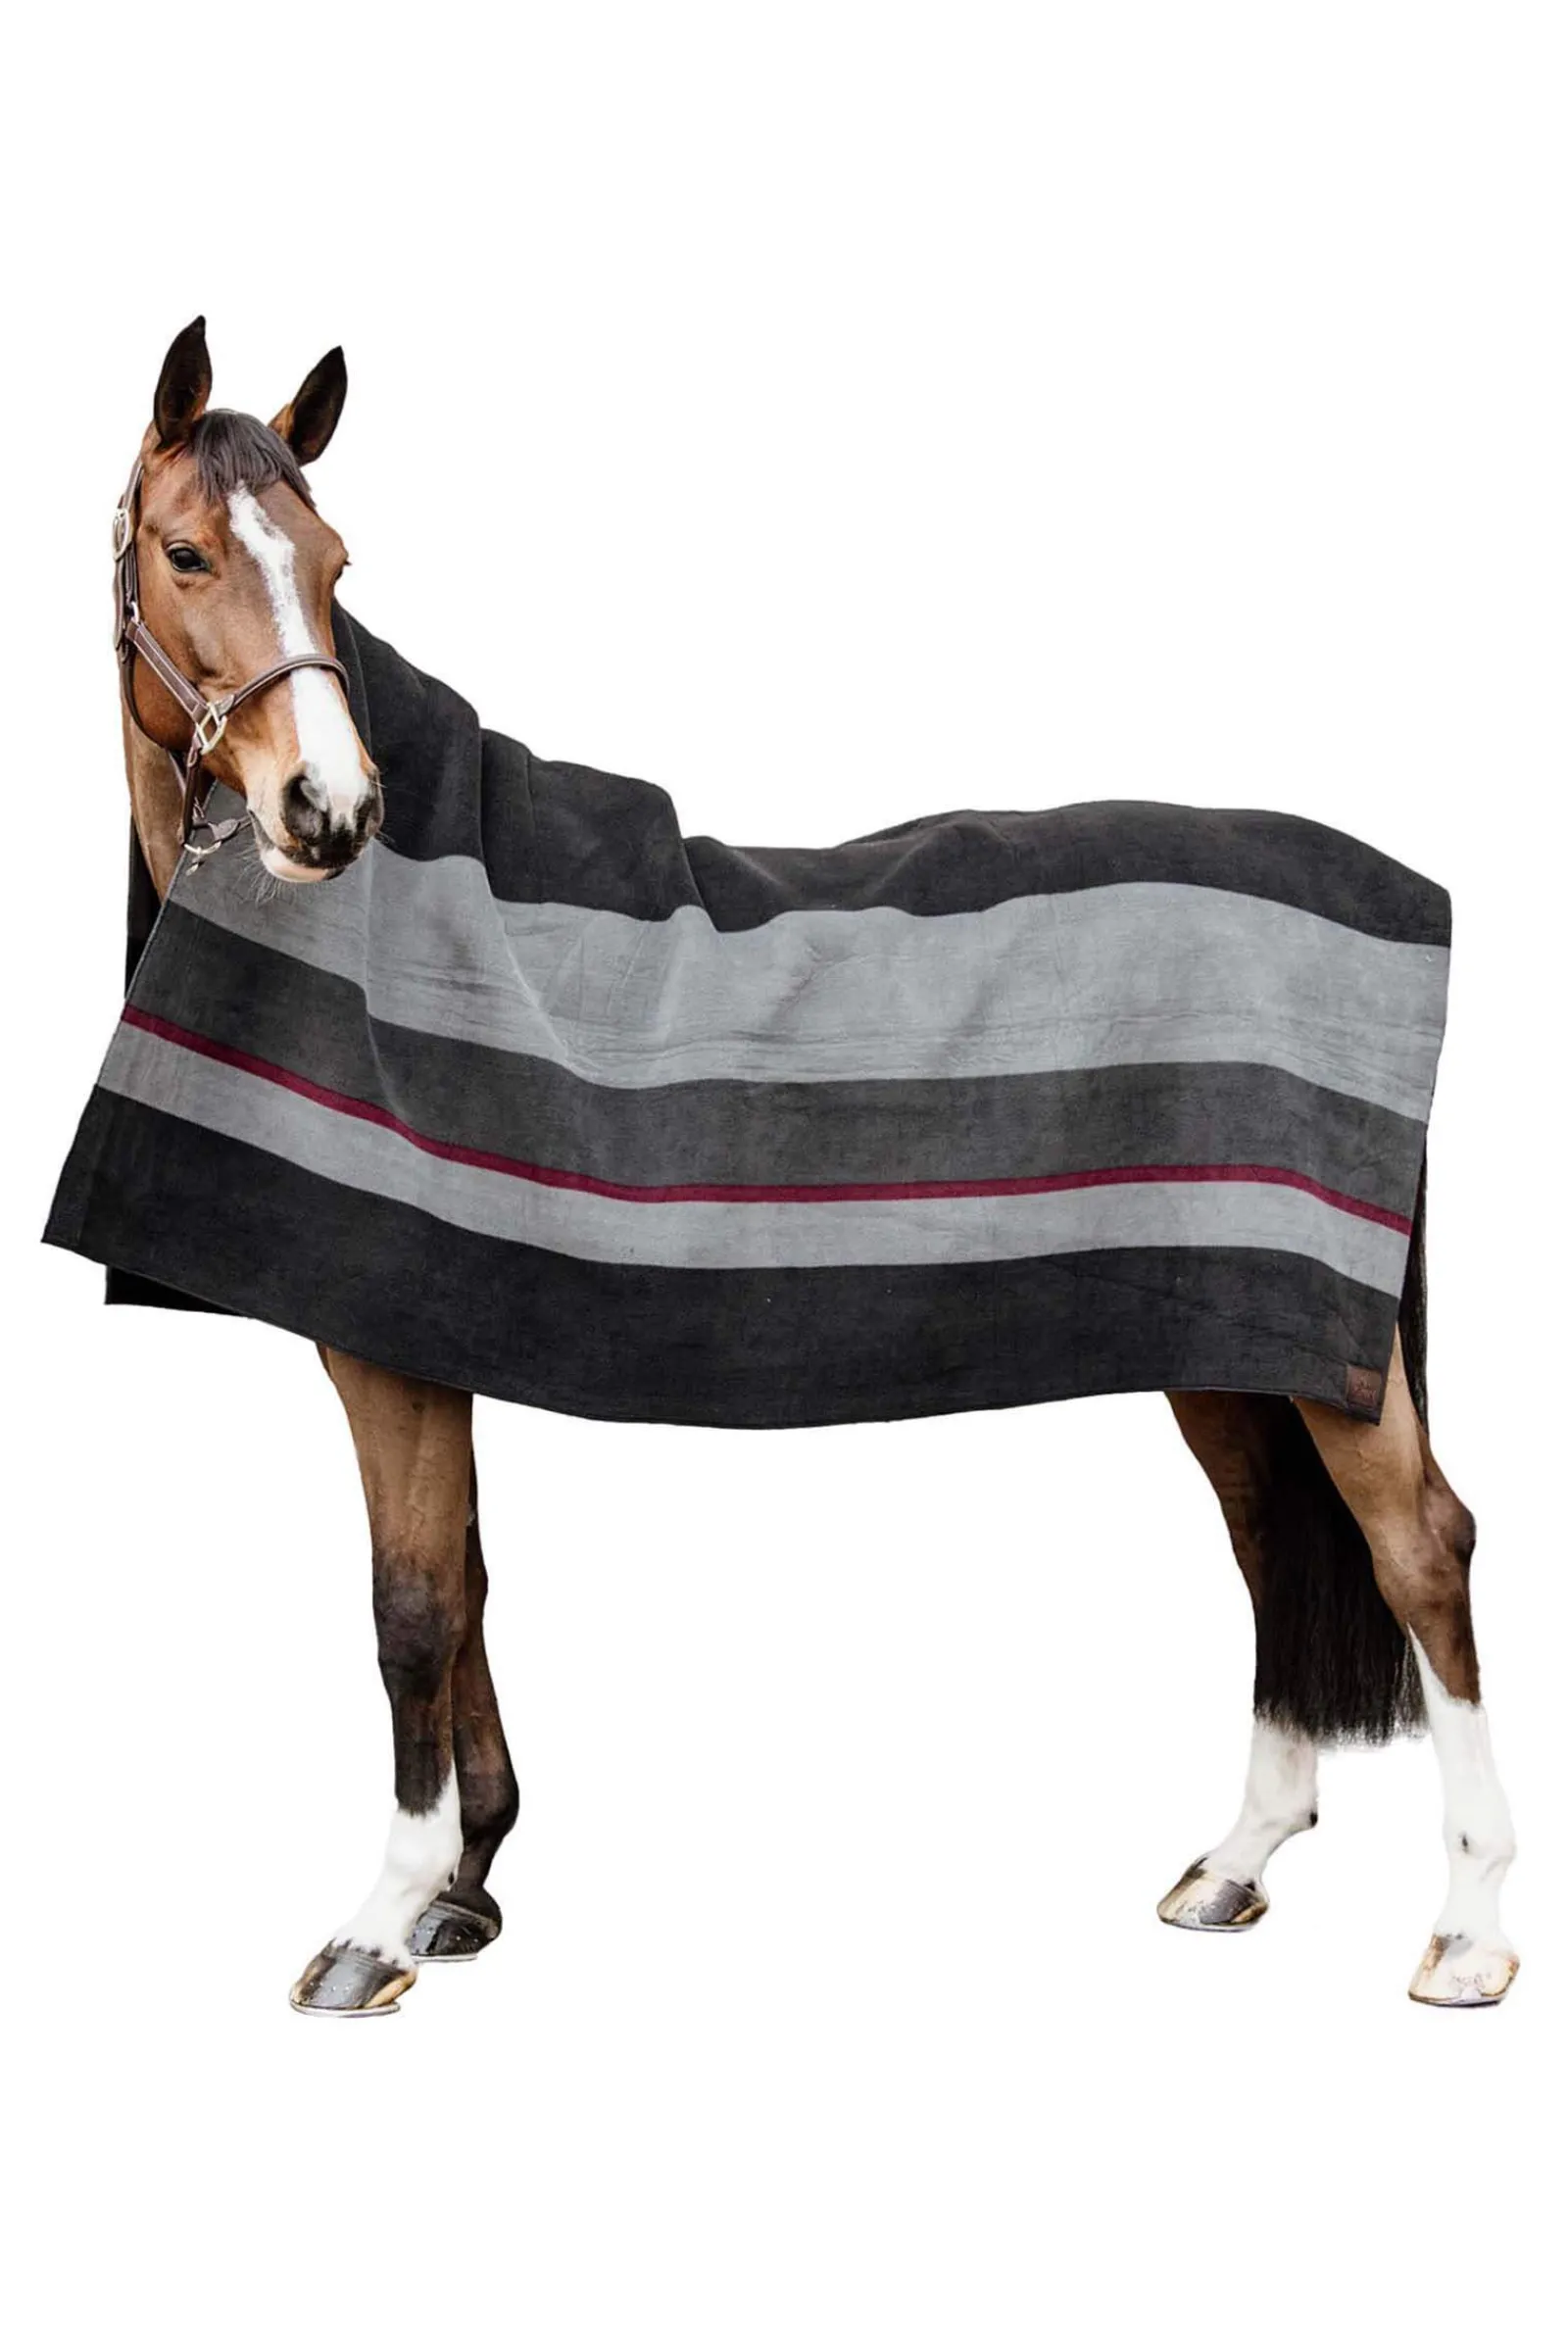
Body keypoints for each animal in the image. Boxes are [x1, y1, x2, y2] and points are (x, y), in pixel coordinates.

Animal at [64, 319, 1517, 2015]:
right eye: (188, 553)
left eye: (337, 564)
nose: (333, 810)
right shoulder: (438, 1325)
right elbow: (470, 1582)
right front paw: (468, 1888)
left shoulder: (390, 1348)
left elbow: (410, 1608)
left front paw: (381, 1920)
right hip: (1225, 1343)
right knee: (1277, 1540)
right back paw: (1236, 1862)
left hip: (1325, 1360)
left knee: (1420, 1547)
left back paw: (1472, 1930)